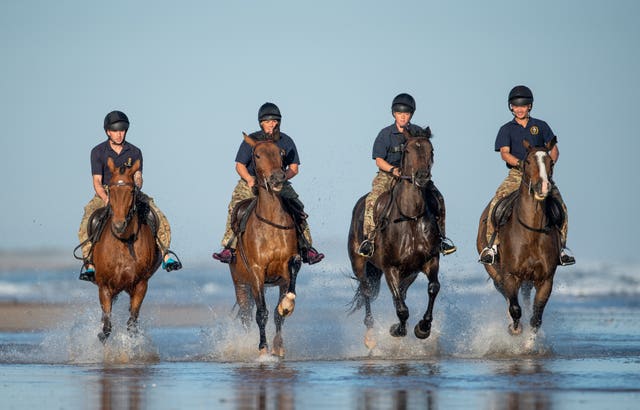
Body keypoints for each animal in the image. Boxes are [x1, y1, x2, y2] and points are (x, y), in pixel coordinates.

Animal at [91, 157, 161, 342]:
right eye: (111, 189)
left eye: (131, 191)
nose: (118, 225)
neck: (124, 241)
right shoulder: (104, 286)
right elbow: (106, 328)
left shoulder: (141, 284)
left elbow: (131, 325)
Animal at [229, 133, 302, 358]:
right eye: (258, 155)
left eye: (281, 153)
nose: (278, 178)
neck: (270, 224)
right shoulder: (256, 272)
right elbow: (262, 313)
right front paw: (263, 349)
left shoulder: (285, 272)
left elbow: (281, 312)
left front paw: (278, 345)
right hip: (241, 284)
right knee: (246, 315)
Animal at [350, 125, 440, 350]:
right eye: (407, 150)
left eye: (431, 150)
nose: (422, 176)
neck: (411, 217)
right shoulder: (390, 267)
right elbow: (401, 307)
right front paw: (397, 330)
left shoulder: (430, 261)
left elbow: (432, 288)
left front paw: (423, 328)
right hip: (360, 264)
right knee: (366, 291)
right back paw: (370, 337)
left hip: (410, 272)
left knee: (401, 293)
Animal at [476, 138, 560, 334]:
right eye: (527, 161)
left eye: (551, 162)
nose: (543, 187)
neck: (532, 231)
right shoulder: (510, 275)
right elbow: (515, 308)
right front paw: (515, 329)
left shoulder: (546, 279)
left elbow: (536, 317)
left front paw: (530, 340)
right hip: (495, 271)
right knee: (508, 297)